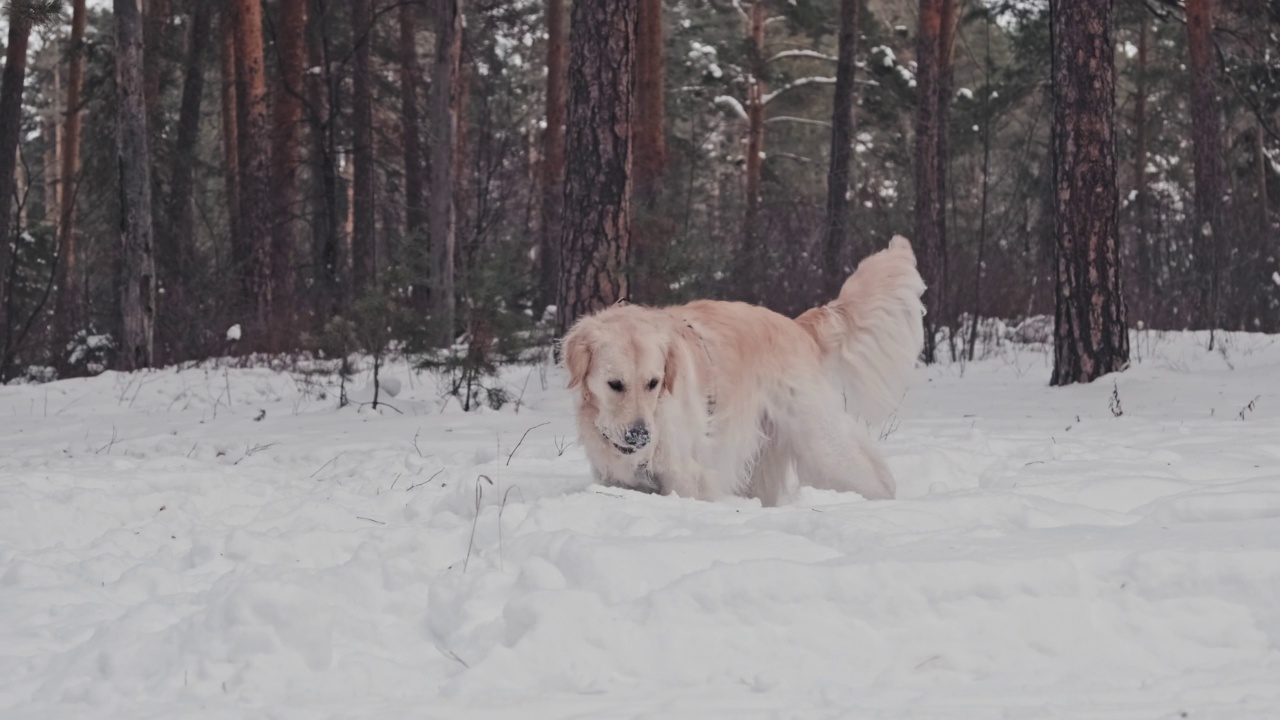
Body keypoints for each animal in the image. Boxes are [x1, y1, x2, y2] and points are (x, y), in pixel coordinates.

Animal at [560, 237, 921, 504]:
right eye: (615, 384)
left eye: (653, 383)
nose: (641, 435)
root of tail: (797, 325)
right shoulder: (616, 478)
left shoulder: (685, 475)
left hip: (819, 440)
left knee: (865, 471)